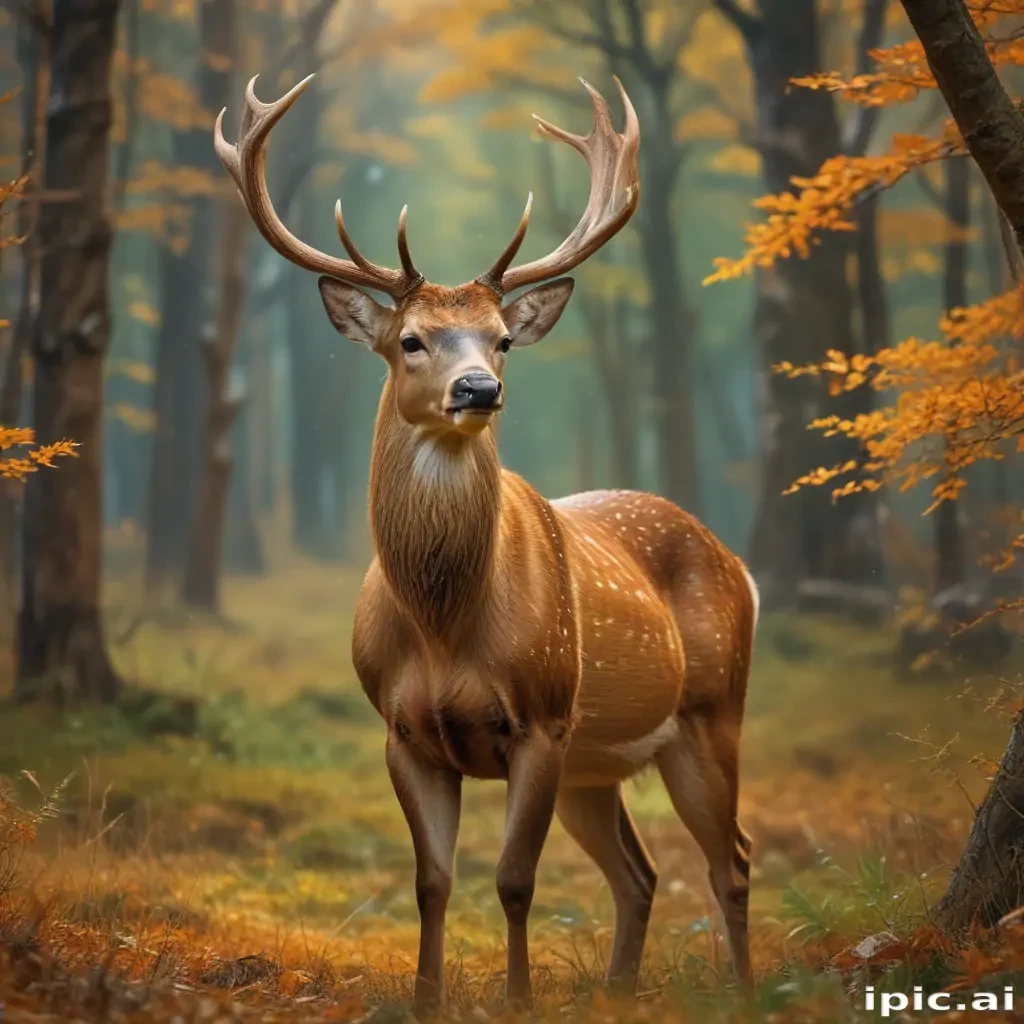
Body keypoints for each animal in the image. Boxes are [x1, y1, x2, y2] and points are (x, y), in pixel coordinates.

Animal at [215, 73, 759, 1015]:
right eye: (410, 340)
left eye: (503, 339)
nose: (479, 388)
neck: (444, 626)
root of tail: (741, 566)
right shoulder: (402, 730)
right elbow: (431, 880)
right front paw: (426, 998)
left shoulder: (541, 716)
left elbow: (512, 879)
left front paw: (519, 999)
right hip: (597, 763)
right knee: (641, 873)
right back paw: (619, 991)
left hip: (709, 711)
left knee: (731, 859)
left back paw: (742, 989)